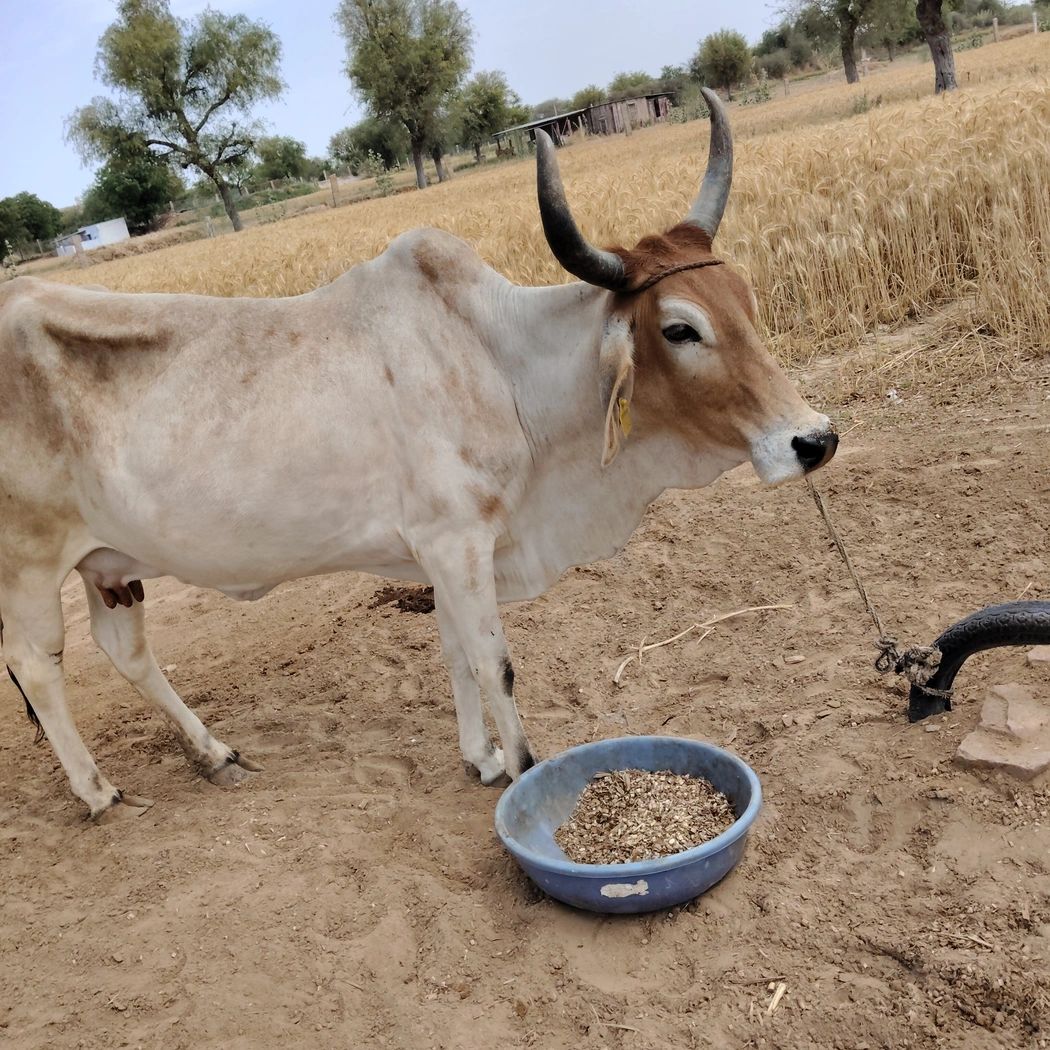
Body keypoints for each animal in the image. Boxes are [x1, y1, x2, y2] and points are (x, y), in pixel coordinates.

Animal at [0, 89, 837, 821]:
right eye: (679, 329)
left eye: (746, 302)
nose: (814, 439)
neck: (499, 361)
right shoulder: (456, 540)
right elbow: (494, 661)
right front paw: (525, 773)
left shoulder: (446, 552)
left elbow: (455, 651)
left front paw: (481, 758)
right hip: (30, 567)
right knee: (38, 665)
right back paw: (97, 791)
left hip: (109, 565)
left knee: (125, 650)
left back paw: (214, 752)